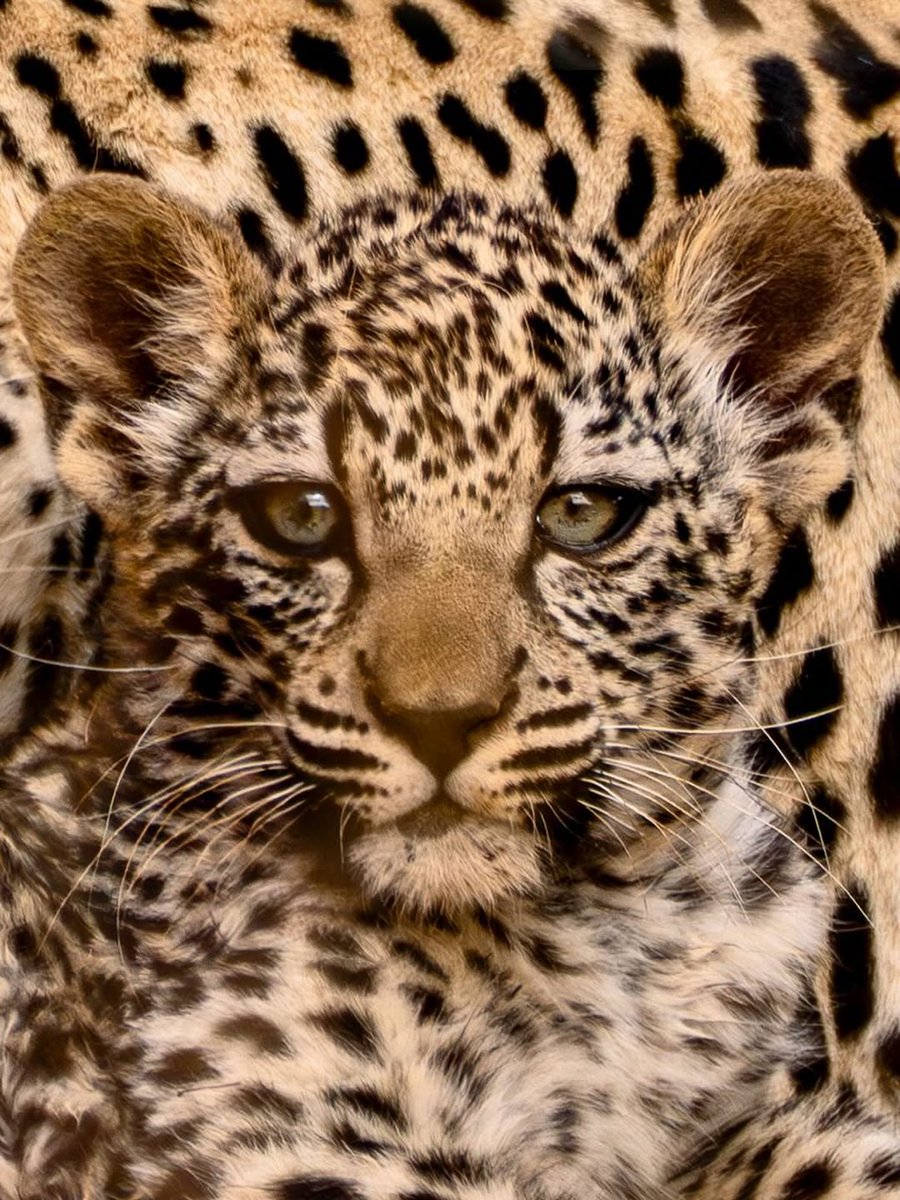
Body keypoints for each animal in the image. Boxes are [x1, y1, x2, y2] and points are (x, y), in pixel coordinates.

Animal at [0, 0, 899, 1198]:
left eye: (582, 515)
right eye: (302, 517)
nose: (439, 720)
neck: (607, 943)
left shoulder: (734, 1113)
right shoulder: (270, 1131)